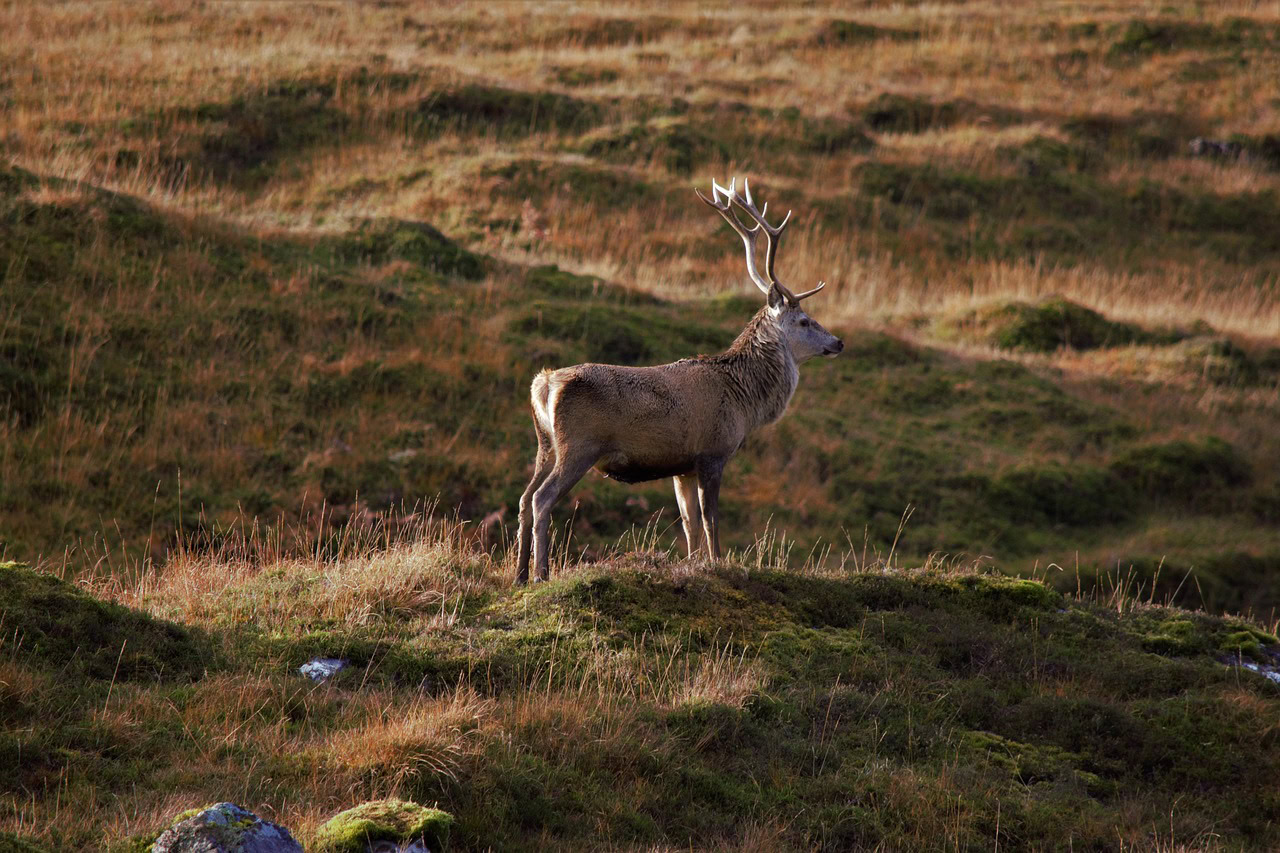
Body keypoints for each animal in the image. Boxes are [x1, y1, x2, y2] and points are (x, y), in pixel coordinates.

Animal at [514, 175, 844, 581]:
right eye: (805, 321)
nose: (838, 341)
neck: (745, 400)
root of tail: (545, 384)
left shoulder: (681, 466)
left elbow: (689, 523)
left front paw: (694, 563)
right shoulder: (712, 451)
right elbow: (710, 519)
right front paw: (717, 562)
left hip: (544, 444)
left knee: (524, 498)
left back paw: (519, 574)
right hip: (578, 445)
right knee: (542, 499)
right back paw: (540, 573)